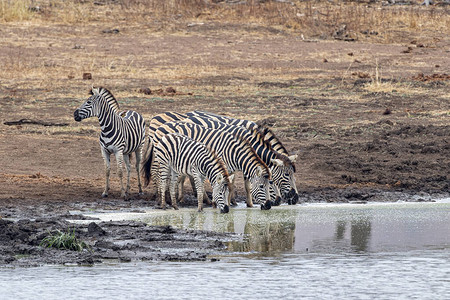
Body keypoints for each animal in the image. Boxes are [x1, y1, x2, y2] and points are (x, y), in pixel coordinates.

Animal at [142, 120, 272, 210]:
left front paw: (227, 202)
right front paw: (216, 203)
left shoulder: (229, 169)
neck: (234, 153)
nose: (269, 206)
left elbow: (230, 185)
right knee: (157, 174)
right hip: (160, 158)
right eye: (262, 186)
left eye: (269, 184)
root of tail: (161, 126)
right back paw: (161, 200)